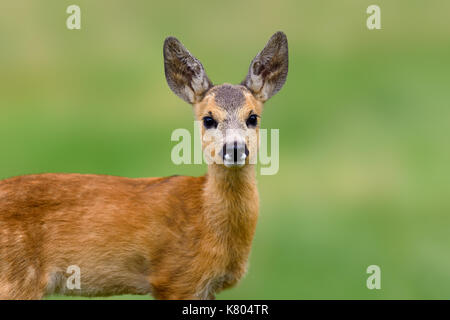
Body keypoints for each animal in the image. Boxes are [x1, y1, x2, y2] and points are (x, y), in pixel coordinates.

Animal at [0, 31, 288, 298]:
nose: (235, 148)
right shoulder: (176, 278)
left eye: (253, 117)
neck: (204, 216)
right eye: (208, 119)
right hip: (15, 279)